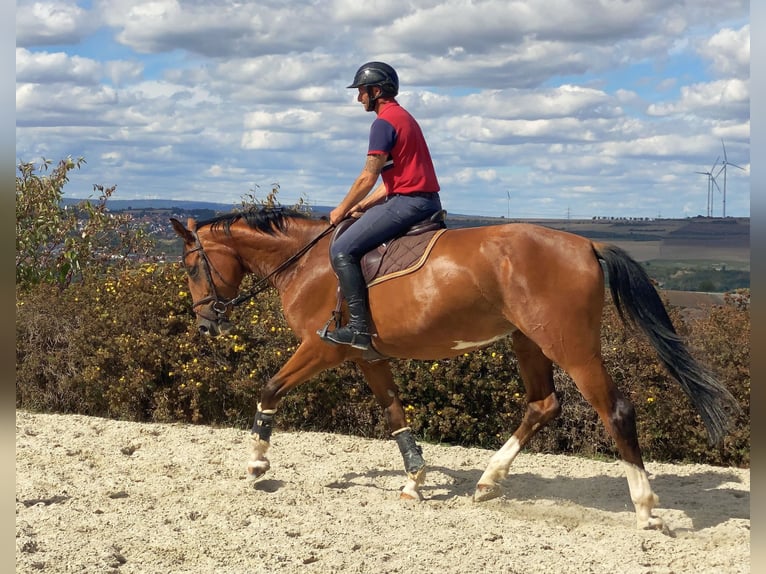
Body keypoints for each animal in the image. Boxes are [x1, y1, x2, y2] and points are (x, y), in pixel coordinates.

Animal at [170, 207, 738, 530]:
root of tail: (586, 244)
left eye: (193, 266)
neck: (307, 263)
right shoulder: (366, 355)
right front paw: (415, 480)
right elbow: (395, 414)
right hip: (527, 341)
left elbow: (269, 389)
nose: (206, 324)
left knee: (614, 408)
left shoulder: (322, 348)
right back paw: (487, 481)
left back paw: (644, 506)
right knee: (543, 404)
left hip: (569, 346)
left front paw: (257, 464)